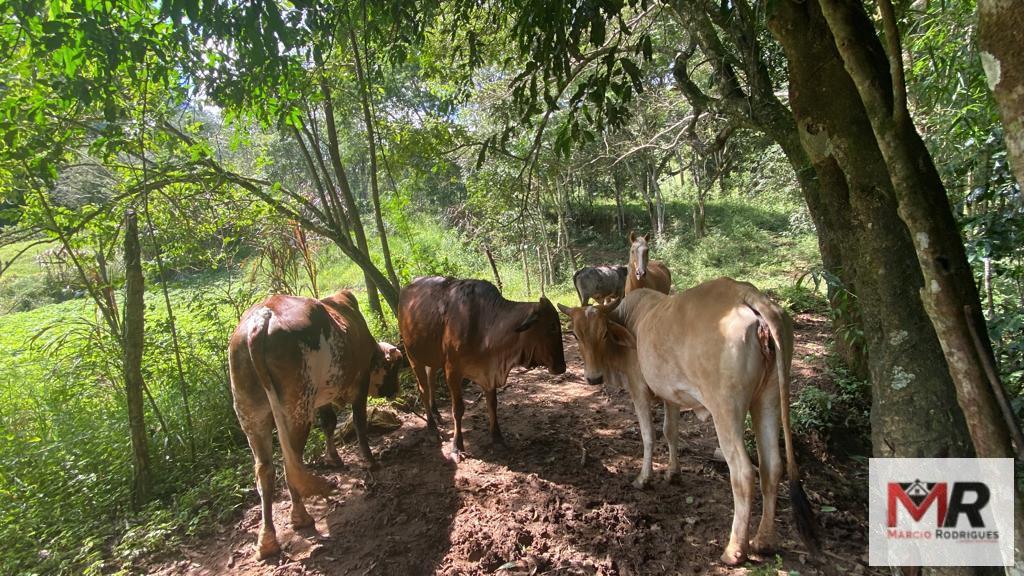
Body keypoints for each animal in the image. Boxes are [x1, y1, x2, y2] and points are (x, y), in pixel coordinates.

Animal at [229, 286, 403, 557]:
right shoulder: (360, 382)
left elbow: (329, 423)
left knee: (265, 470)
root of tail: (262, 317)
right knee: (291, 463)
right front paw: (370, 461)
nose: (395, 389)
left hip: (250, 414)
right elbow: (359, 423)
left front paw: (334, 458)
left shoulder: (322, 397)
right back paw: (300, 517)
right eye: (394, 368)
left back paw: (267, 540)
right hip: (296, 410)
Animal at [397, 276, 569, 459]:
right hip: (413, 356)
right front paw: (457, 446)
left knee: (431, 383)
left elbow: (492, 404)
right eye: (552, 326)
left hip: (432, 359)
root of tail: (407, 287)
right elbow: (458, 409)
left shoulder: (488, 372)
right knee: (423, 390)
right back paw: (432, 429)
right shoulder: (452, 371)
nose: (561, 367)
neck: (484, 326)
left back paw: (437, 414)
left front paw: (497, 438)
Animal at [557, 278, 819, 565]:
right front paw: (673, 473)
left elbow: (649, 435)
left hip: (725, 408)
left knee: (743, 472)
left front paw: (644, 479)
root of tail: (746, 294)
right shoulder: (670, 395)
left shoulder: (639, 389)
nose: (593, 378)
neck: (629, 320)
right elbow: (670, 432)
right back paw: (764, 541)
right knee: (771, 466)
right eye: (575, 335)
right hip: (768, 398)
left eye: (604, 333)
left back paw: (734, 550)